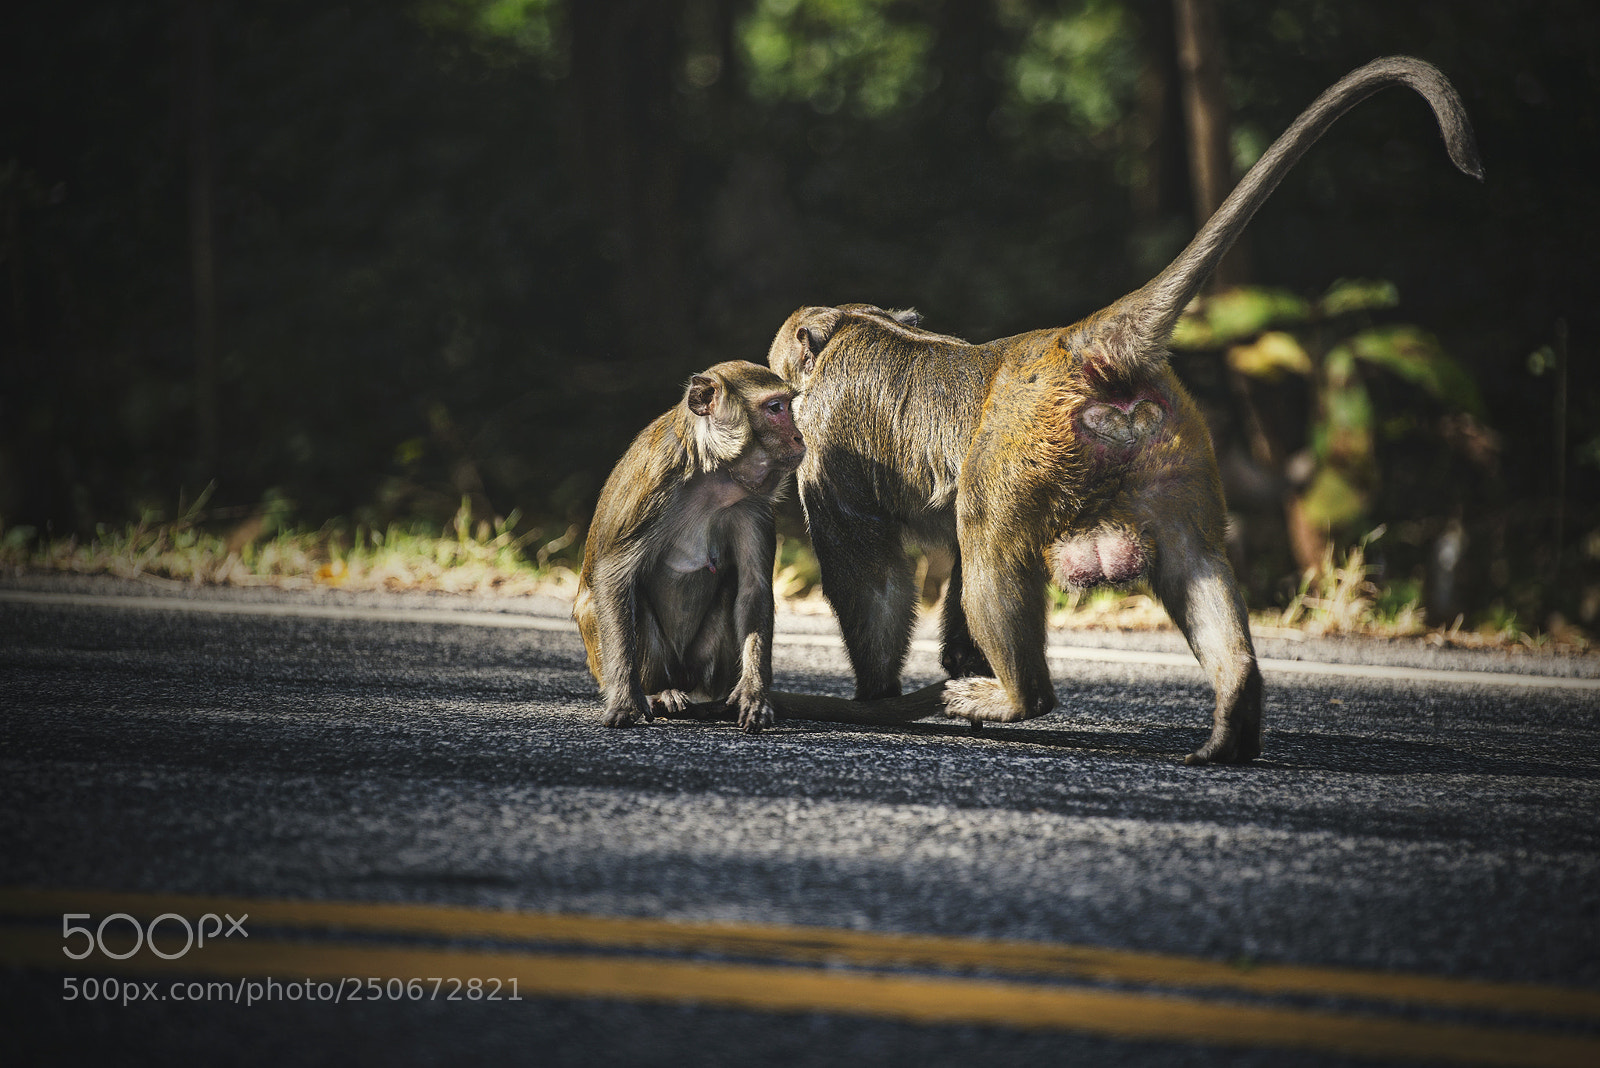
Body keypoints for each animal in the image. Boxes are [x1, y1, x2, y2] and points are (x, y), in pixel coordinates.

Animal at [572, 360, 807, 733]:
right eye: (775, 408)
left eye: (787, 405)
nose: (799, 436)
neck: (712, 472)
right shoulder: (656, 479)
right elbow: (614, 576)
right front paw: (625, 700)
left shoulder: (752, 504)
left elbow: (753, 587)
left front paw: (754, 693)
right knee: (631, 597)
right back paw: (659, 694)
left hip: (699, 667)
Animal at [765, 57, 1482, 764]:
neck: (853, 327)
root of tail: (1080, 342)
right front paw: (949, 662)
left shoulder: (824, 446)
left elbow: (871, 575)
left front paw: (877, 697)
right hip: (1173, 445)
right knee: (1191, 557)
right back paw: (1234, 706)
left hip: (1017, 452)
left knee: (988, 542)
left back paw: (1017, 697)